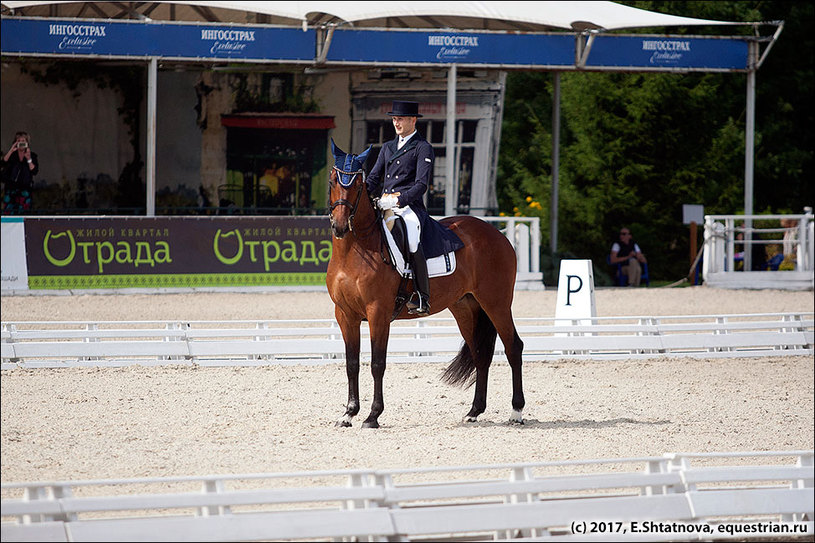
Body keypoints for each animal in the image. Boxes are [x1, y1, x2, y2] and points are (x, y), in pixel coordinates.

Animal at [326, 143, 524, 430]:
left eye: (358, 184)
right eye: (332, 181)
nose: (340, 226)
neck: (354, 250)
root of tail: (497, 234)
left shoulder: (378, 313)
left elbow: (377, 363)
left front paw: (373, 416)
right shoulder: (345, 315)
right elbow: (352, 363)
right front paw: (349, 414)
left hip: (496, 303)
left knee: (513, 348)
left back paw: (516, 412)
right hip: (466, 307)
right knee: (480, 354)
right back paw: (474, 411)